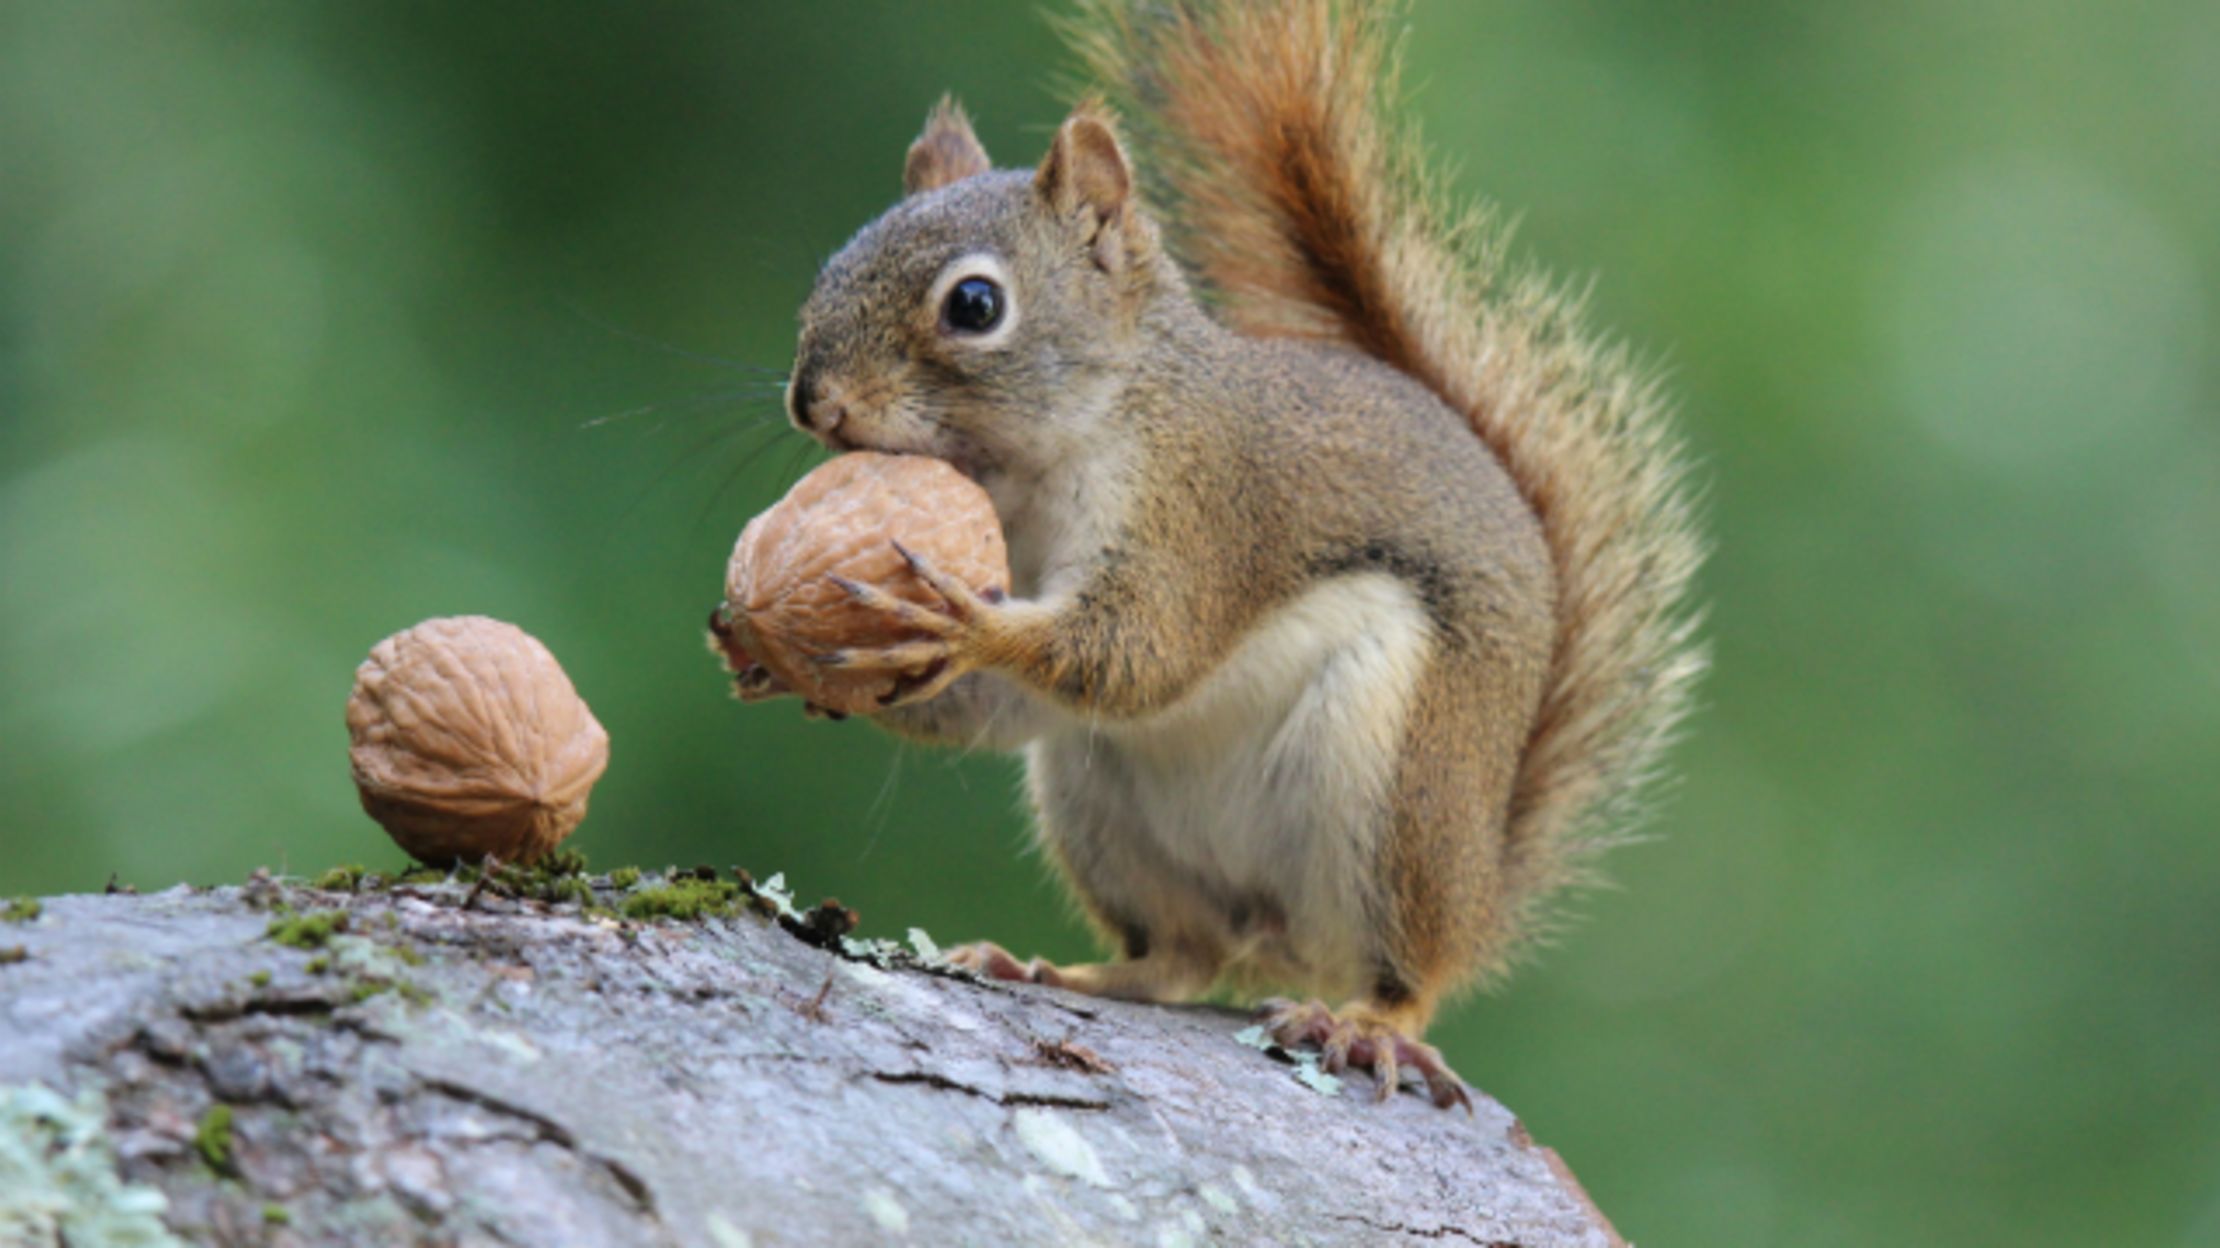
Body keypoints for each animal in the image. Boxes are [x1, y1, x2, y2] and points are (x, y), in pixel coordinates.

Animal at [747, 0, 1704, 1109]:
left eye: (975, 306)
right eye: (828, 273)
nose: (813, 402)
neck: (1038, 465)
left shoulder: (1203, 512)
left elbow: (1139, 651)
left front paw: (963, 622)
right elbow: (1001, 708)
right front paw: (776, 652)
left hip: (1398, 793)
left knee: (1406, 972)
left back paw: (1365, 1025)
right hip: (1095, 804)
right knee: (1181, 957)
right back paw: (1049, 970)